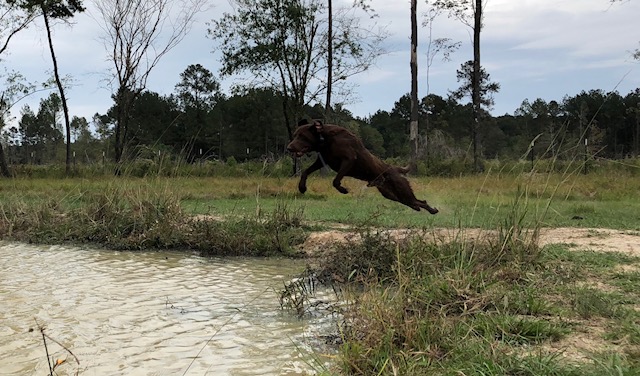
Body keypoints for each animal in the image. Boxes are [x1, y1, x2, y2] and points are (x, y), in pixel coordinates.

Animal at [288, 120, 438, 214]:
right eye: (295, 135)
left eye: (302, 136)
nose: (289, 148)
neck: (325, 139)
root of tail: (395, 169)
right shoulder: (322, 161)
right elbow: (305, 172)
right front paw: (302, 187)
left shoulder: (348, 160)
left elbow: (335, 181)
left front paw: (343, 190)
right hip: (390, 194)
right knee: (414, 202)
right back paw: (420, 209)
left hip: (402, 190)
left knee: (419, 201)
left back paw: (433, 210)